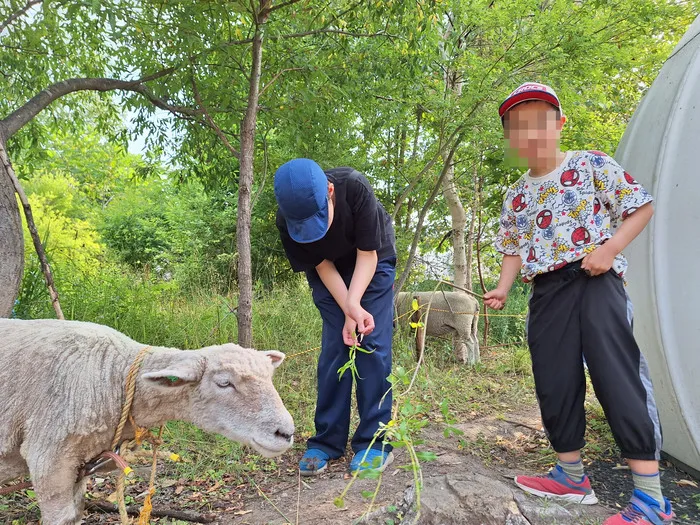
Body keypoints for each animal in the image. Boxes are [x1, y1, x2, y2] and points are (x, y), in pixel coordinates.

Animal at [0, 318, 294, 520]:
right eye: (224, 383)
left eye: (269, 377)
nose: (286, 433)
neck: (114, 375)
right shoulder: (50, 459)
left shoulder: (79, 465)